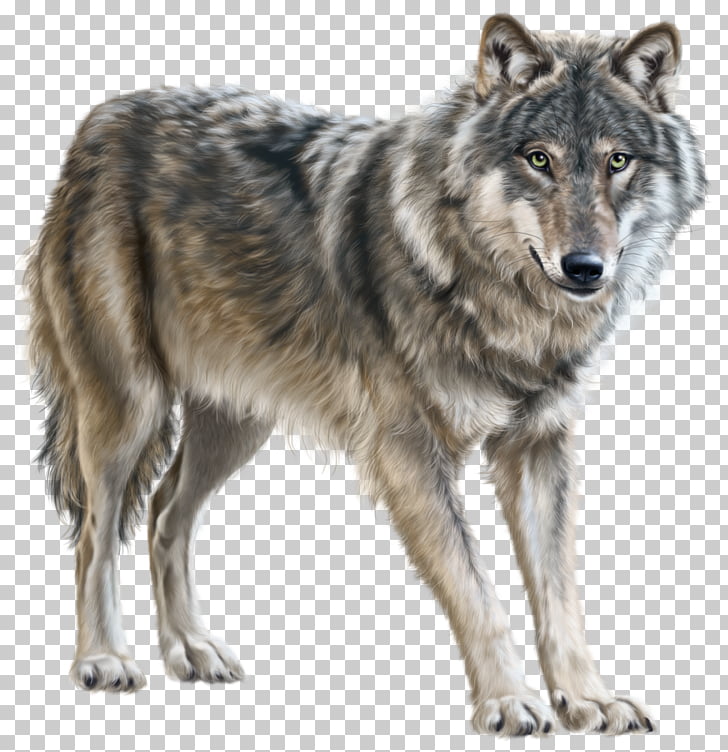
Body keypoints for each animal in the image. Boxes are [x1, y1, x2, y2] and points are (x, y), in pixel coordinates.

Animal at [26, 14, 704, 735]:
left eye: (617, 161)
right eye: (538, 158)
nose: (584, 268)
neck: (493, 296)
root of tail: (101, 119)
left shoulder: (536, 446)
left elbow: (559, 595)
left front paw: (587, 699)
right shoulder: (408, 453)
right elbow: (477, 591)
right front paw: (506, 702)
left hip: (236, 425)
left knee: (163, 512)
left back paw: (190, 649)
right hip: (131, 408)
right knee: (95, 533)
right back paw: (103, 659)